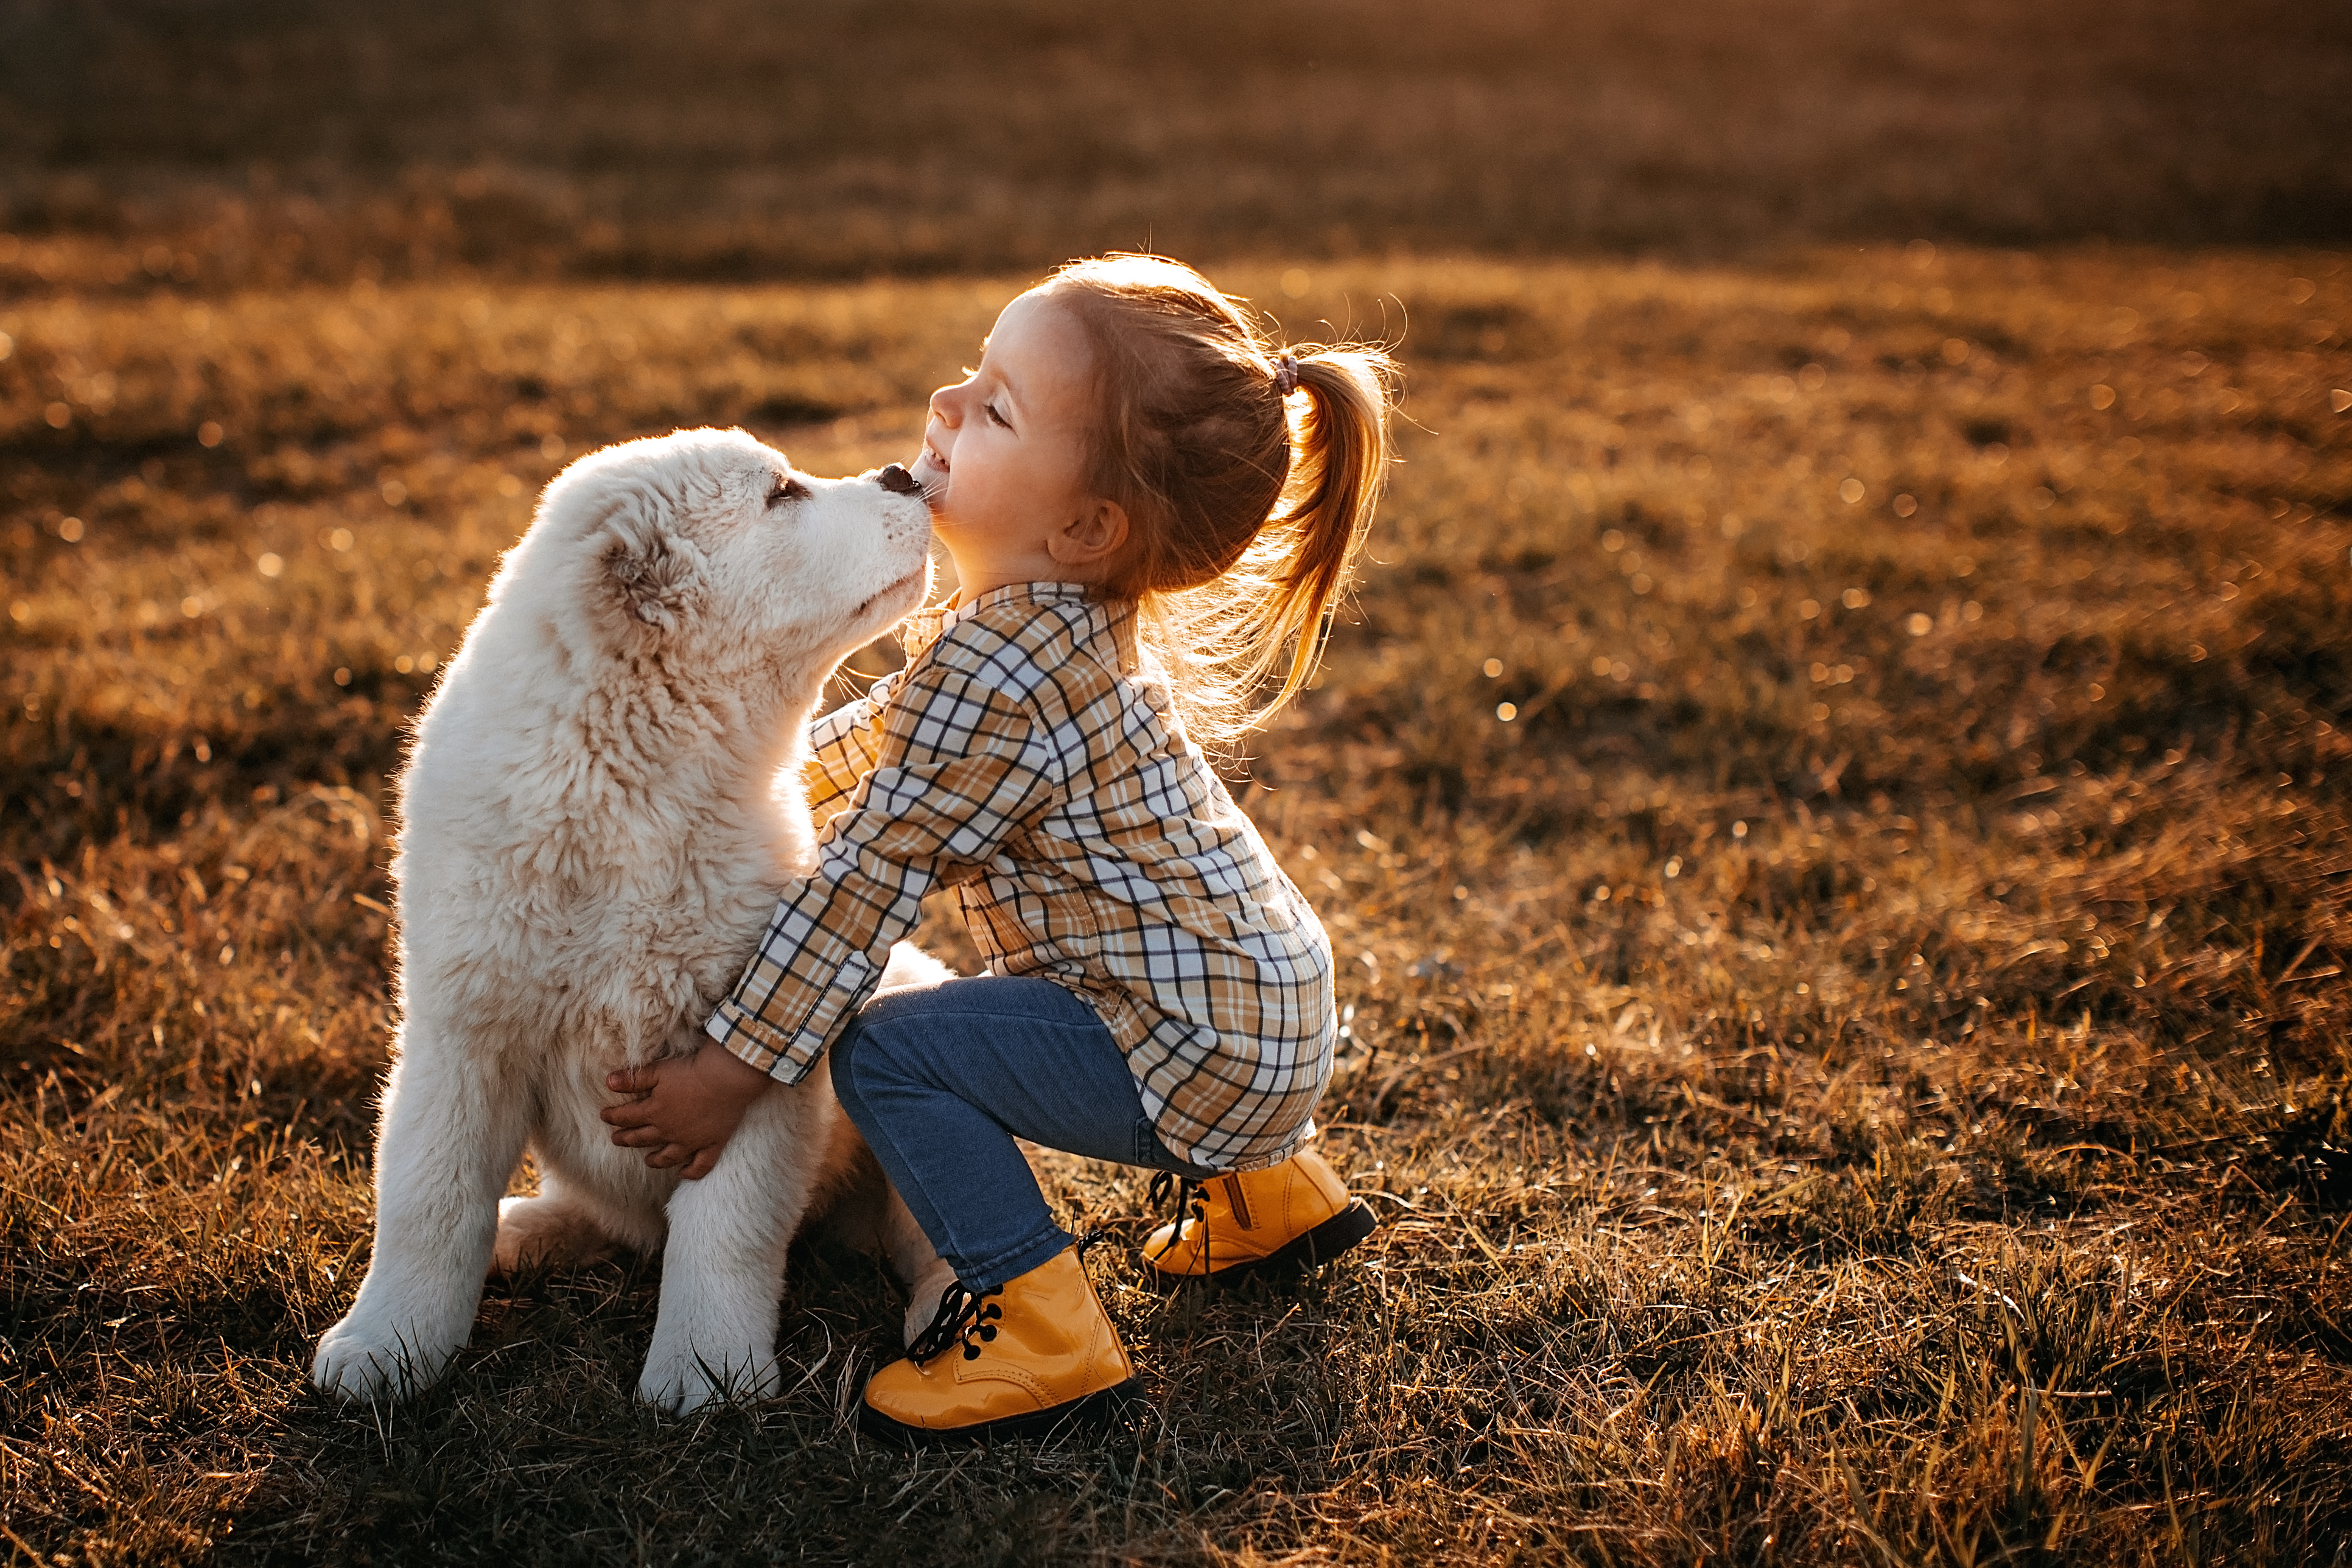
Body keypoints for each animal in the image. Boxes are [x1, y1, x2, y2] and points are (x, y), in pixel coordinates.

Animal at [312, 425, 954, 1410]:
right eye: (781, 495)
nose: (900, 473)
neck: (634, 785)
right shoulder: (463, 1030)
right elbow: (429, 1197)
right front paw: (388, 1347)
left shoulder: (738, 1060)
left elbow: (727, 1227)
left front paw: (707, 1371)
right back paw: (522, 1232)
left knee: (925, 1231)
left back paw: (948, 1317)